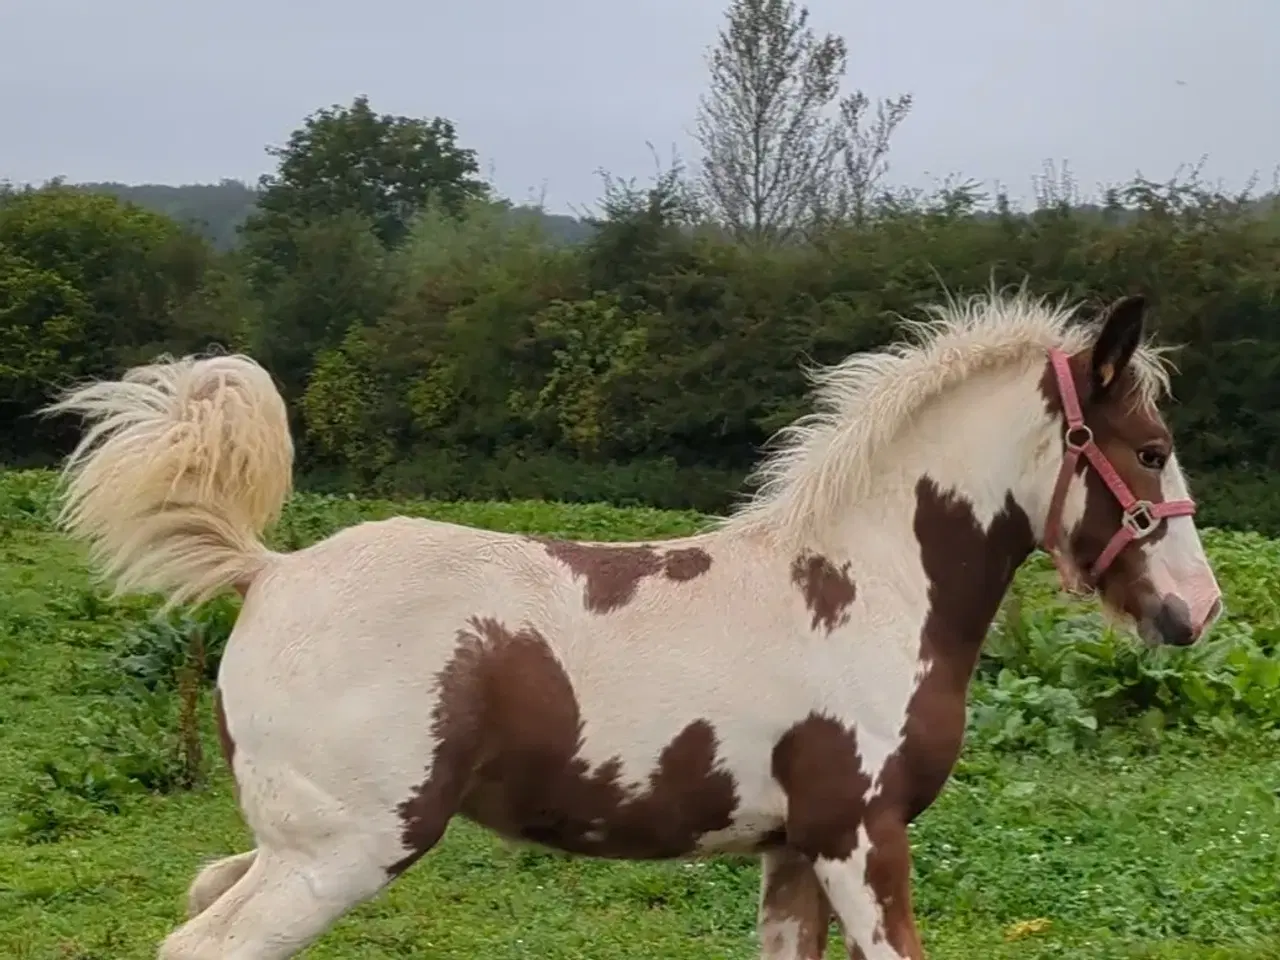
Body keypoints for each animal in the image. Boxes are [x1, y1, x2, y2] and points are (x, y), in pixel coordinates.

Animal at [45, 289, 1223, 957]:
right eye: (1152, 448)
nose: (1197, 611)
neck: (867, 589)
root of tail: (272, 570)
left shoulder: (793, 853)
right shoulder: (860, 838)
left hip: (292, 844)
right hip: (343, 853)